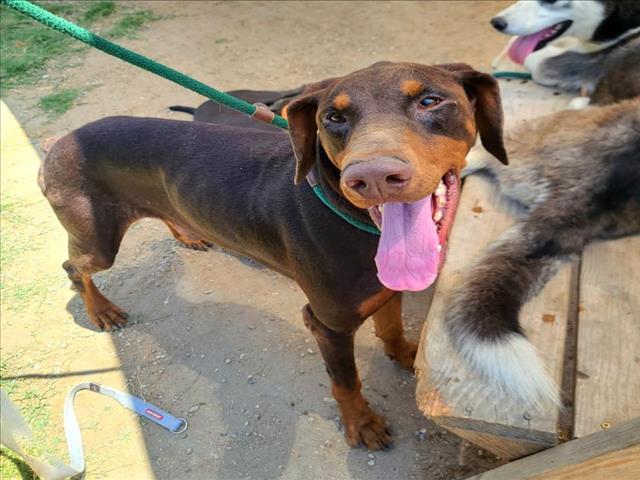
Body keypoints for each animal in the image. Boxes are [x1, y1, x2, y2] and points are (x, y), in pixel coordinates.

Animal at [41, 61, 510, 450]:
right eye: (332, 117)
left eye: (430, 100)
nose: (372, 177)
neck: (354, 223)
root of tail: (57, 143)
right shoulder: (327, 324)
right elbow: (346, 382)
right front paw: (361, 425)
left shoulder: (384, 289)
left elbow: (391, 328)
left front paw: (408, 356)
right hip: (97, 241)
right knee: (71, 267)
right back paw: (101, 309)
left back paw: (187, 234)